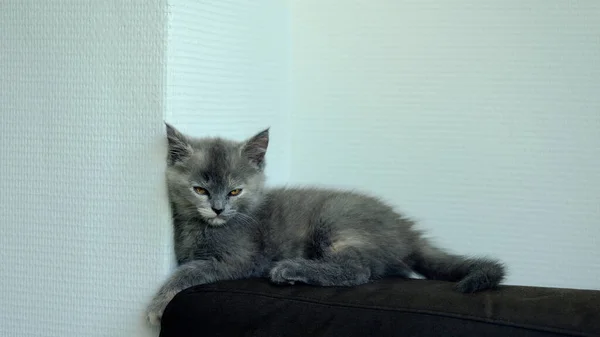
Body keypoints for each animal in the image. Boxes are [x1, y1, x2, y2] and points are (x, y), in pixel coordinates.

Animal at [146, 123, 506, 322]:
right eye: (200, 190)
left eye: (235, 191)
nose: (218, 209)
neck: (204, 228)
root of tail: (405, 229)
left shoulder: (239, 259)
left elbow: (191, 271)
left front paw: (157, 305)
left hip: (336, 219)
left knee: (358, 270)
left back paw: (291, 269)